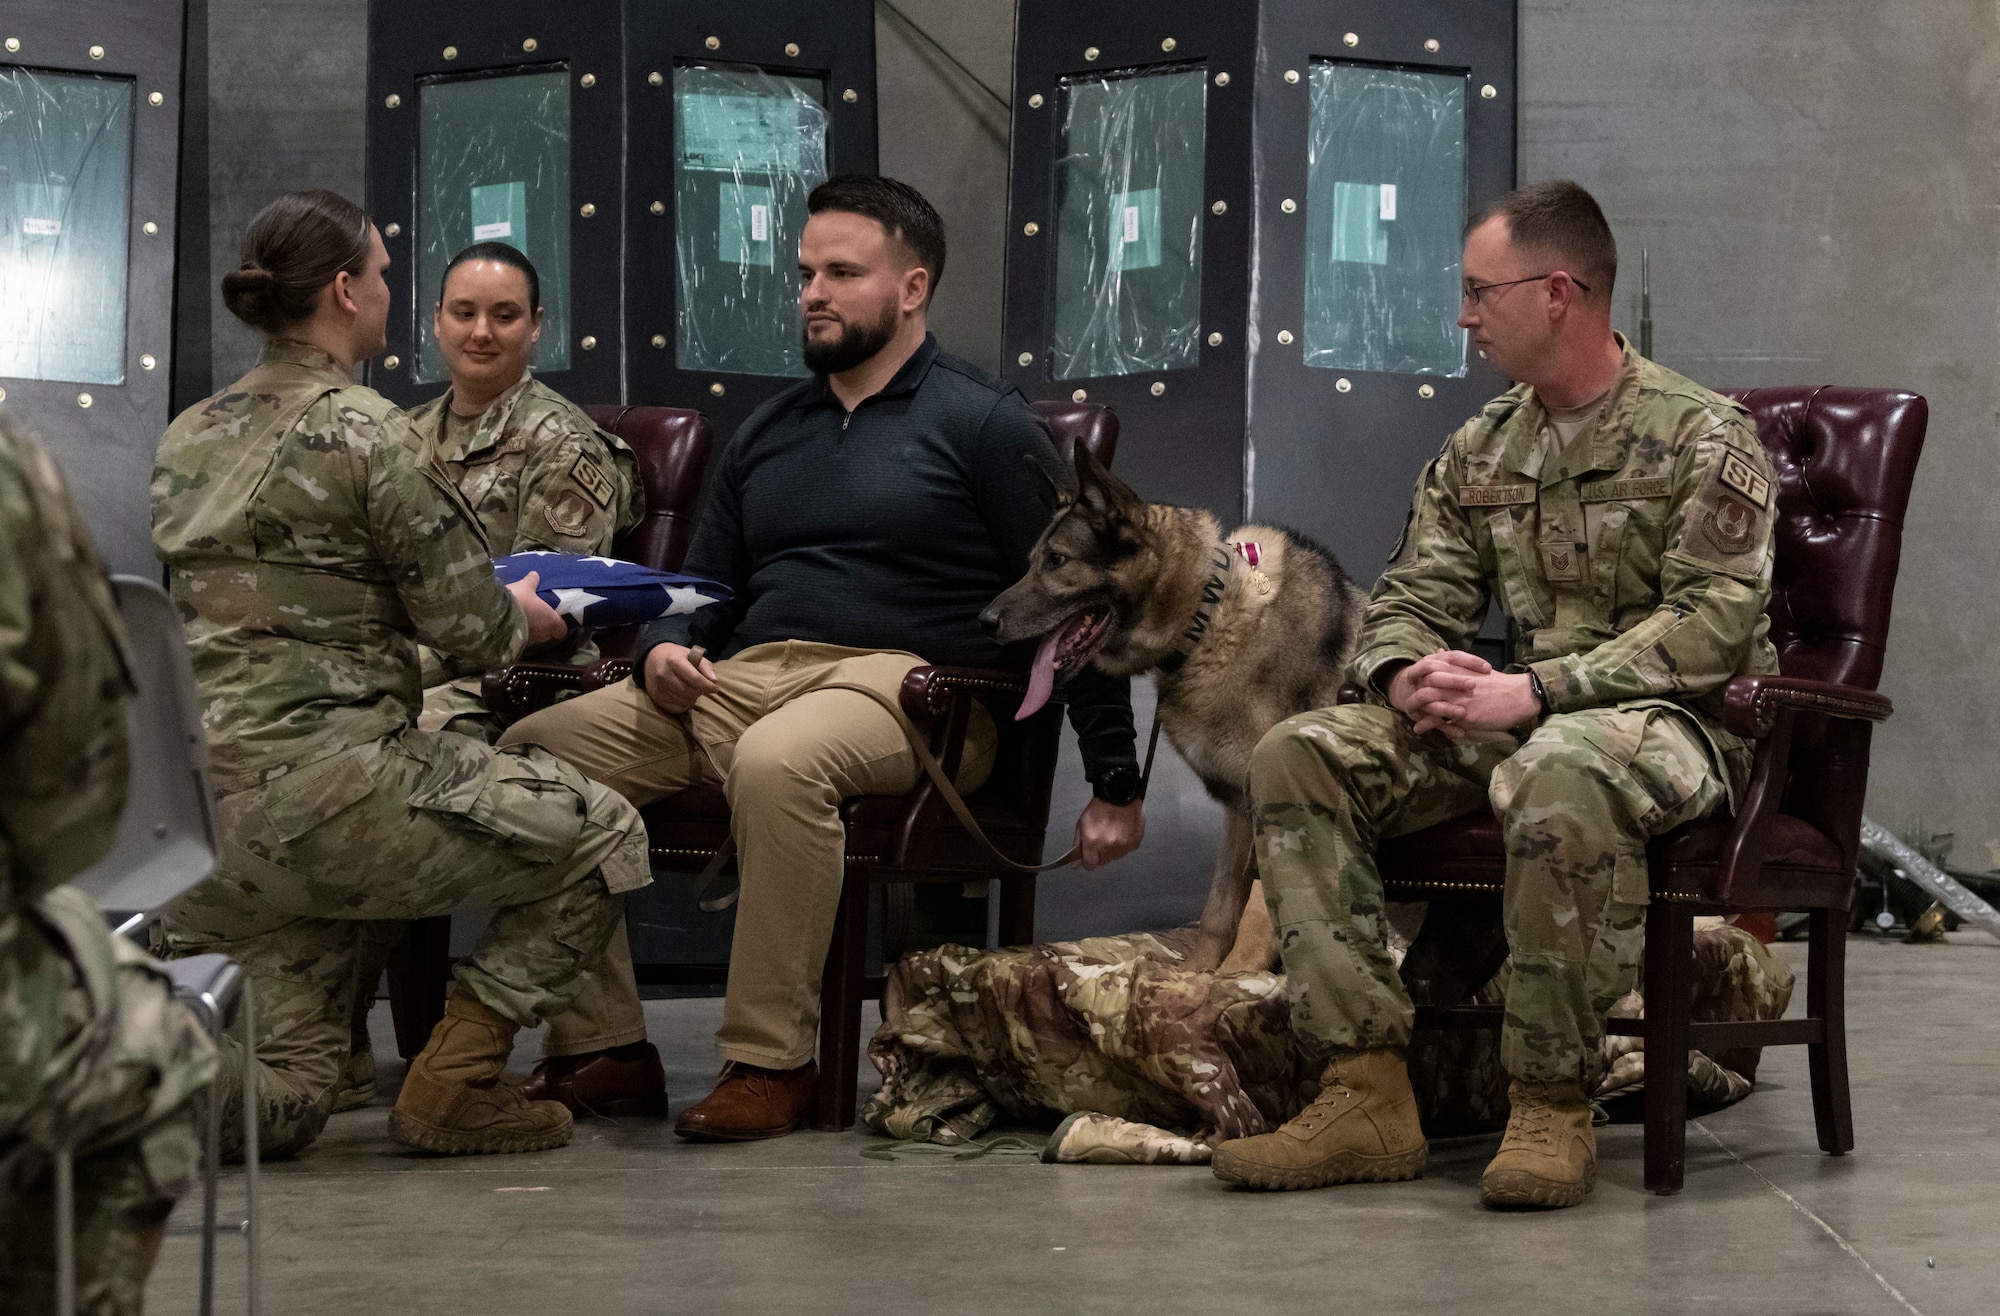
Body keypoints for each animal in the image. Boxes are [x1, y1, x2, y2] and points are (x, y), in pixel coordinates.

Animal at [984, 446, 1376, 968]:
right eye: (1032, 562)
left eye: (1057, 560)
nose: (985, 620)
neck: (1205, 621)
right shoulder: (1239, 816)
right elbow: (1219, 909)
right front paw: (1197, 974)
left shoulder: (1279, 811)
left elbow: (1259, 910)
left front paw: (1236, 975)